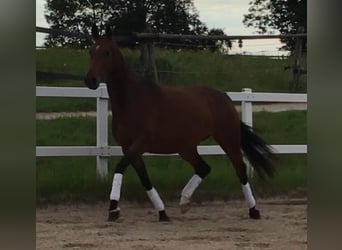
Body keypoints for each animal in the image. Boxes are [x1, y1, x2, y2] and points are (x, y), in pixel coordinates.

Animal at [85, 24, 276, 221]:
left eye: (107, 52)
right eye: (91, 51)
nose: (90, 80)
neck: (132, 101)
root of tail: (224, 97)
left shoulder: (140, 144)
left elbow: (120, 167)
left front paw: (113, 209)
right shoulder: (128, 147)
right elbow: (144, 179)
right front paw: (162, 213)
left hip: (227, 139)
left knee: (240, 169)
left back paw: (254, 211)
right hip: (186, 147)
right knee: (204, 168)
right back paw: (184, 202)